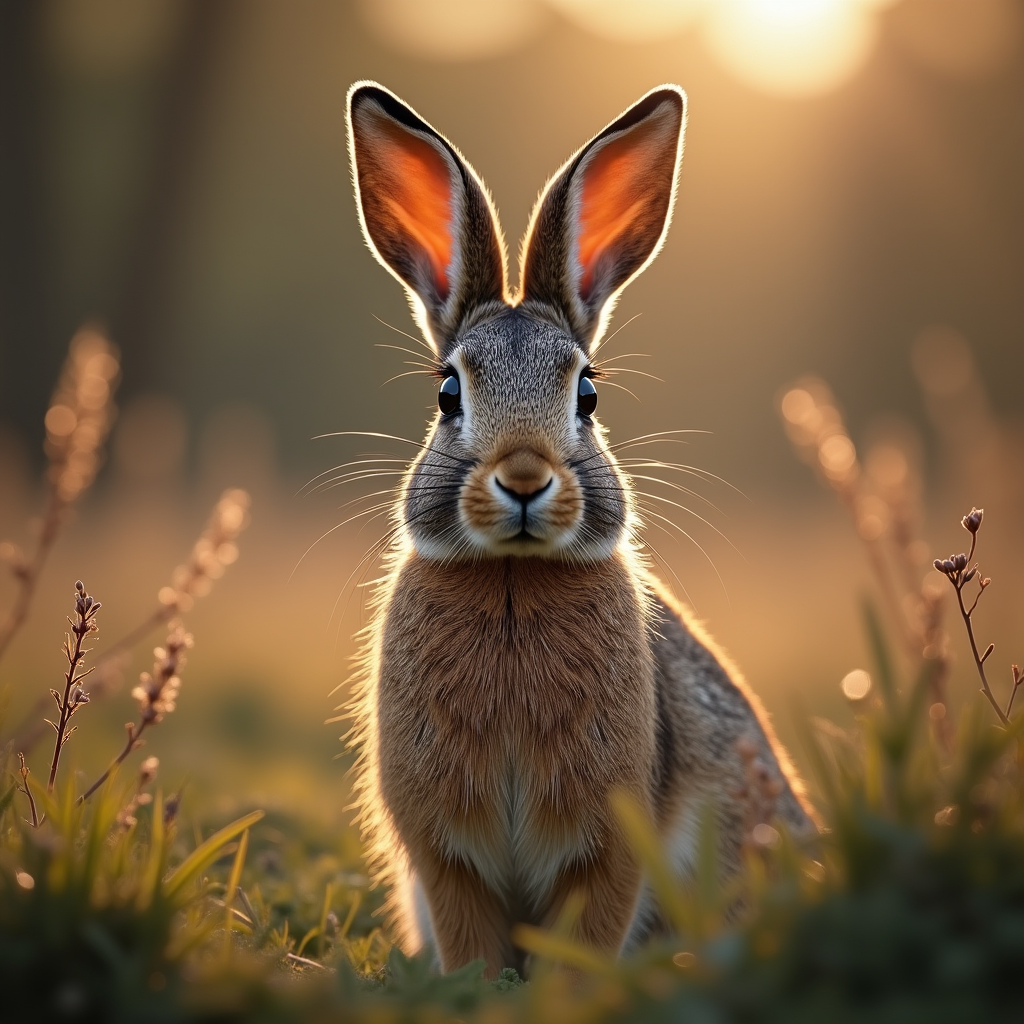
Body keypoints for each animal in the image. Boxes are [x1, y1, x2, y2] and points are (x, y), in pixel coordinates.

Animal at [344, 81, 816, 979]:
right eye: (447, 394)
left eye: (587, 393)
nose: (525, 480)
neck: (512, 580)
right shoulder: (446, 853)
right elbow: (469, 935)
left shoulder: (608, 846)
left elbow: (588, 927)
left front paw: (564, 990)